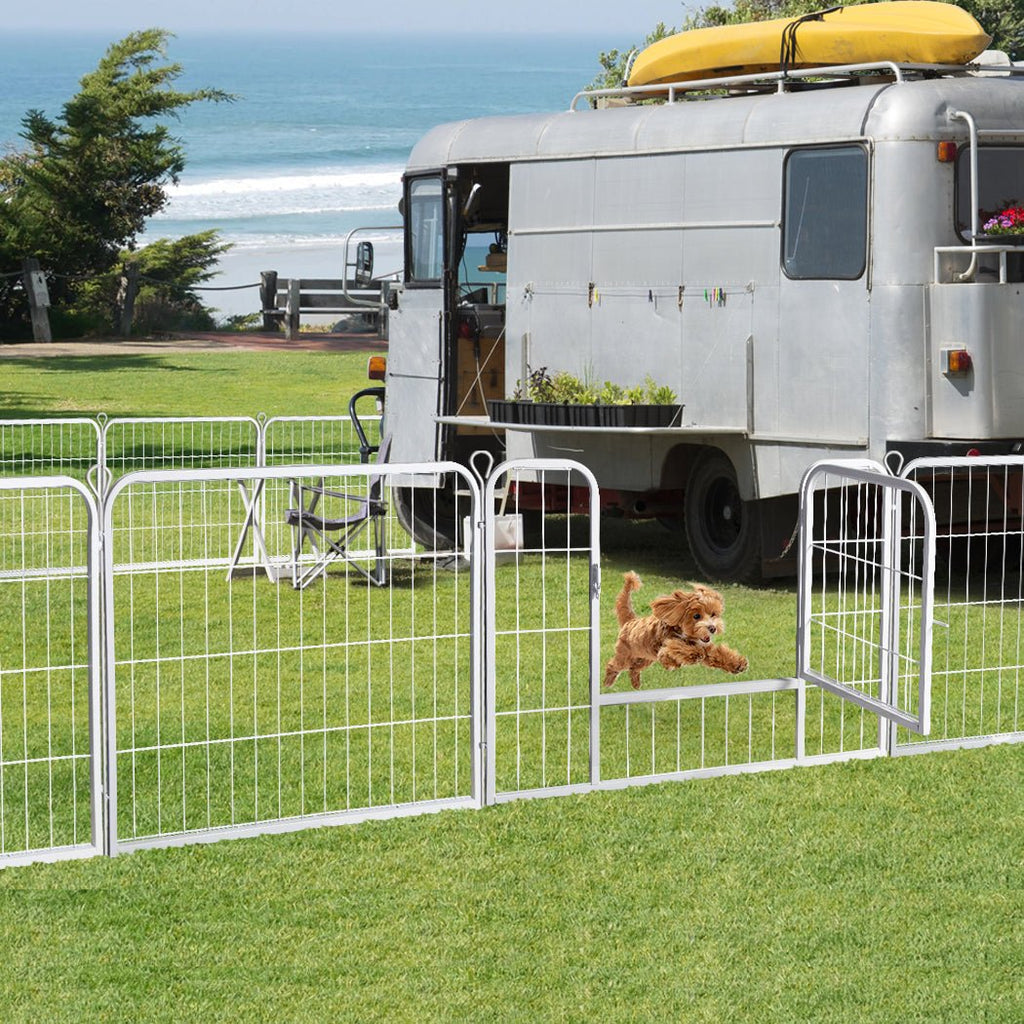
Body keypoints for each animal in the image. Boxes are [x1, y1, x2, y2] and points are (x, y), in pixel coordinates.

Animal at [602, 569, 749, 688]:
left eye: (713, 614)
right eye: (696, 616)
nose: (712, 628)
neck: (685, 635)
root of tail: (630, 620)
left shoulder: (706, 647)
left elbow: (719, 653)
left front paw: (737, 664)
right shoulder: (665, 648)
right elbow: (678, 648)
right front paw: (693, 654)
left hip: (645, 658)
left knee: (634, 669)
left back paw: (636, 685)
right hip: (625, 655)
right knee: (613, 665)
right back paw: (607, 683)